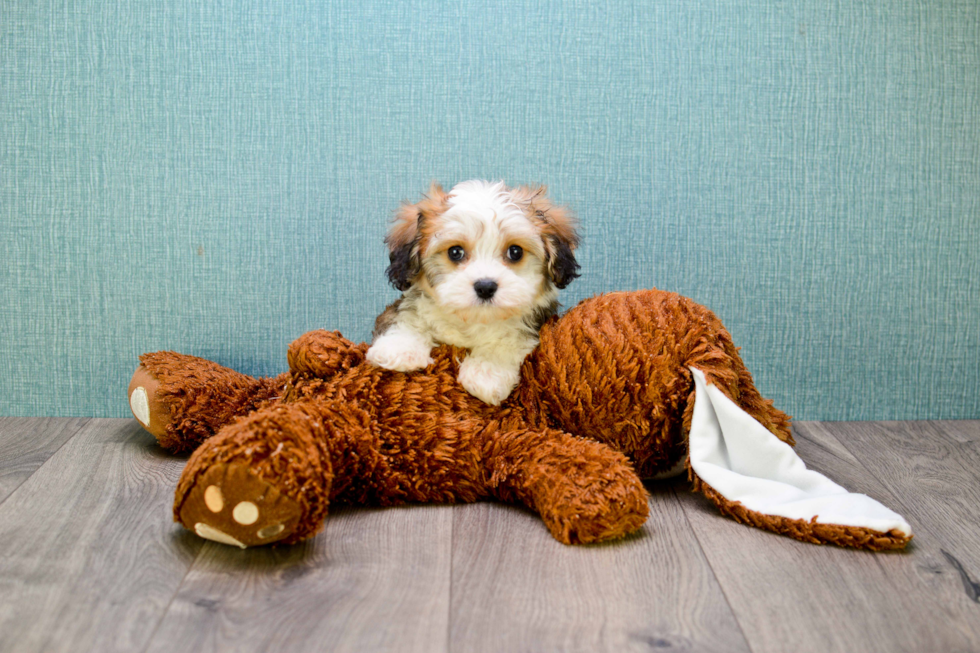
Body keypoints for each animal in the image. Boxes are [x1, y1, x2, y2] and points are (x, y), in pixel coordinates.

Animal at [368, 180, 580, 402]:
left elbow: (511, 338)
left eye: (515, 252)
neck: (472, 320)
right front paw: (399, 349)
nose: (485, 287)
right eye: (455, 252)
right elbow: (408, 317)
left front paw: (487, 372)